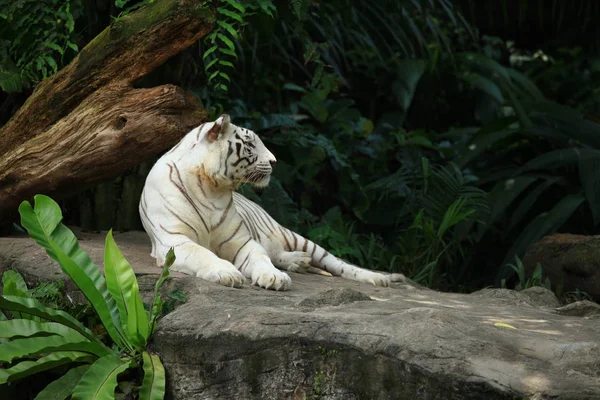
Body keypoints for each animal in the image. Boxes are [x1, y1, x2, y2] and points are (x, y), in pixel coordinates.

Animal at [139, 114, 404, 290]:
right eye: (250, 144)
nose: (275, 162)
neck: (210, 188)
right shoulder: (175, 240)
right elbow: (202, 253)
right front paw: (226, 273)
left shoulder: (241, 241)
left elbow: (260, 257)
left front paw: (274, 277)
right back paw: (299, 262)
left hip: (295, 236)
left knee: (338, 263)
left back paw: (379, 278)